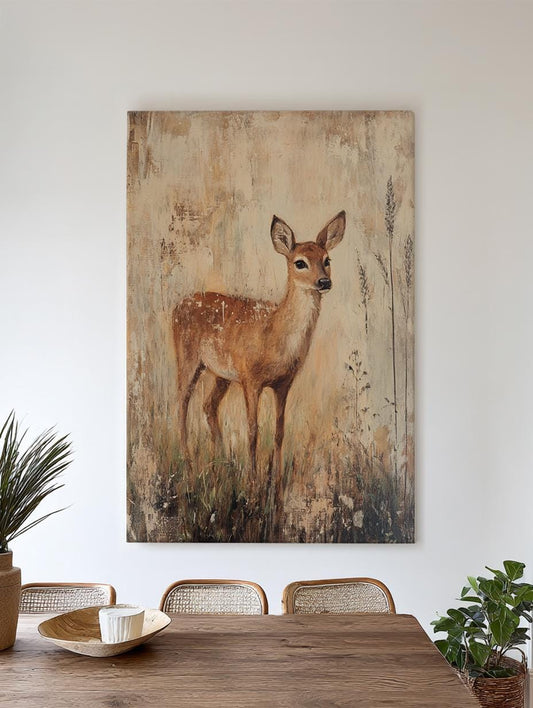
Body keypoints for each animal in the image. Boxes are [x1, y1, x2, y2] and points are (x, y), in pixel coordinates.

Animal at [172, 210, 346, 486]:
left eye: (327, 259)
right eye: (300, 263)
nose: (324, 281)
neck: (275, 335)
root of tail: (178, 305)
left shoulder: (284, 383)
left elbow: (279, 431)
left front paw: (276, 480)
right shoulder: (250, 378)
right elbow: (253, 431)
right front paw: (253, 481)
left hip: (221, 374)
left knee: (208, 406)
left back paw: (223, 464)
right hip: (187, 358)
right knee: (181, 405)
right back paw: (189, 467)